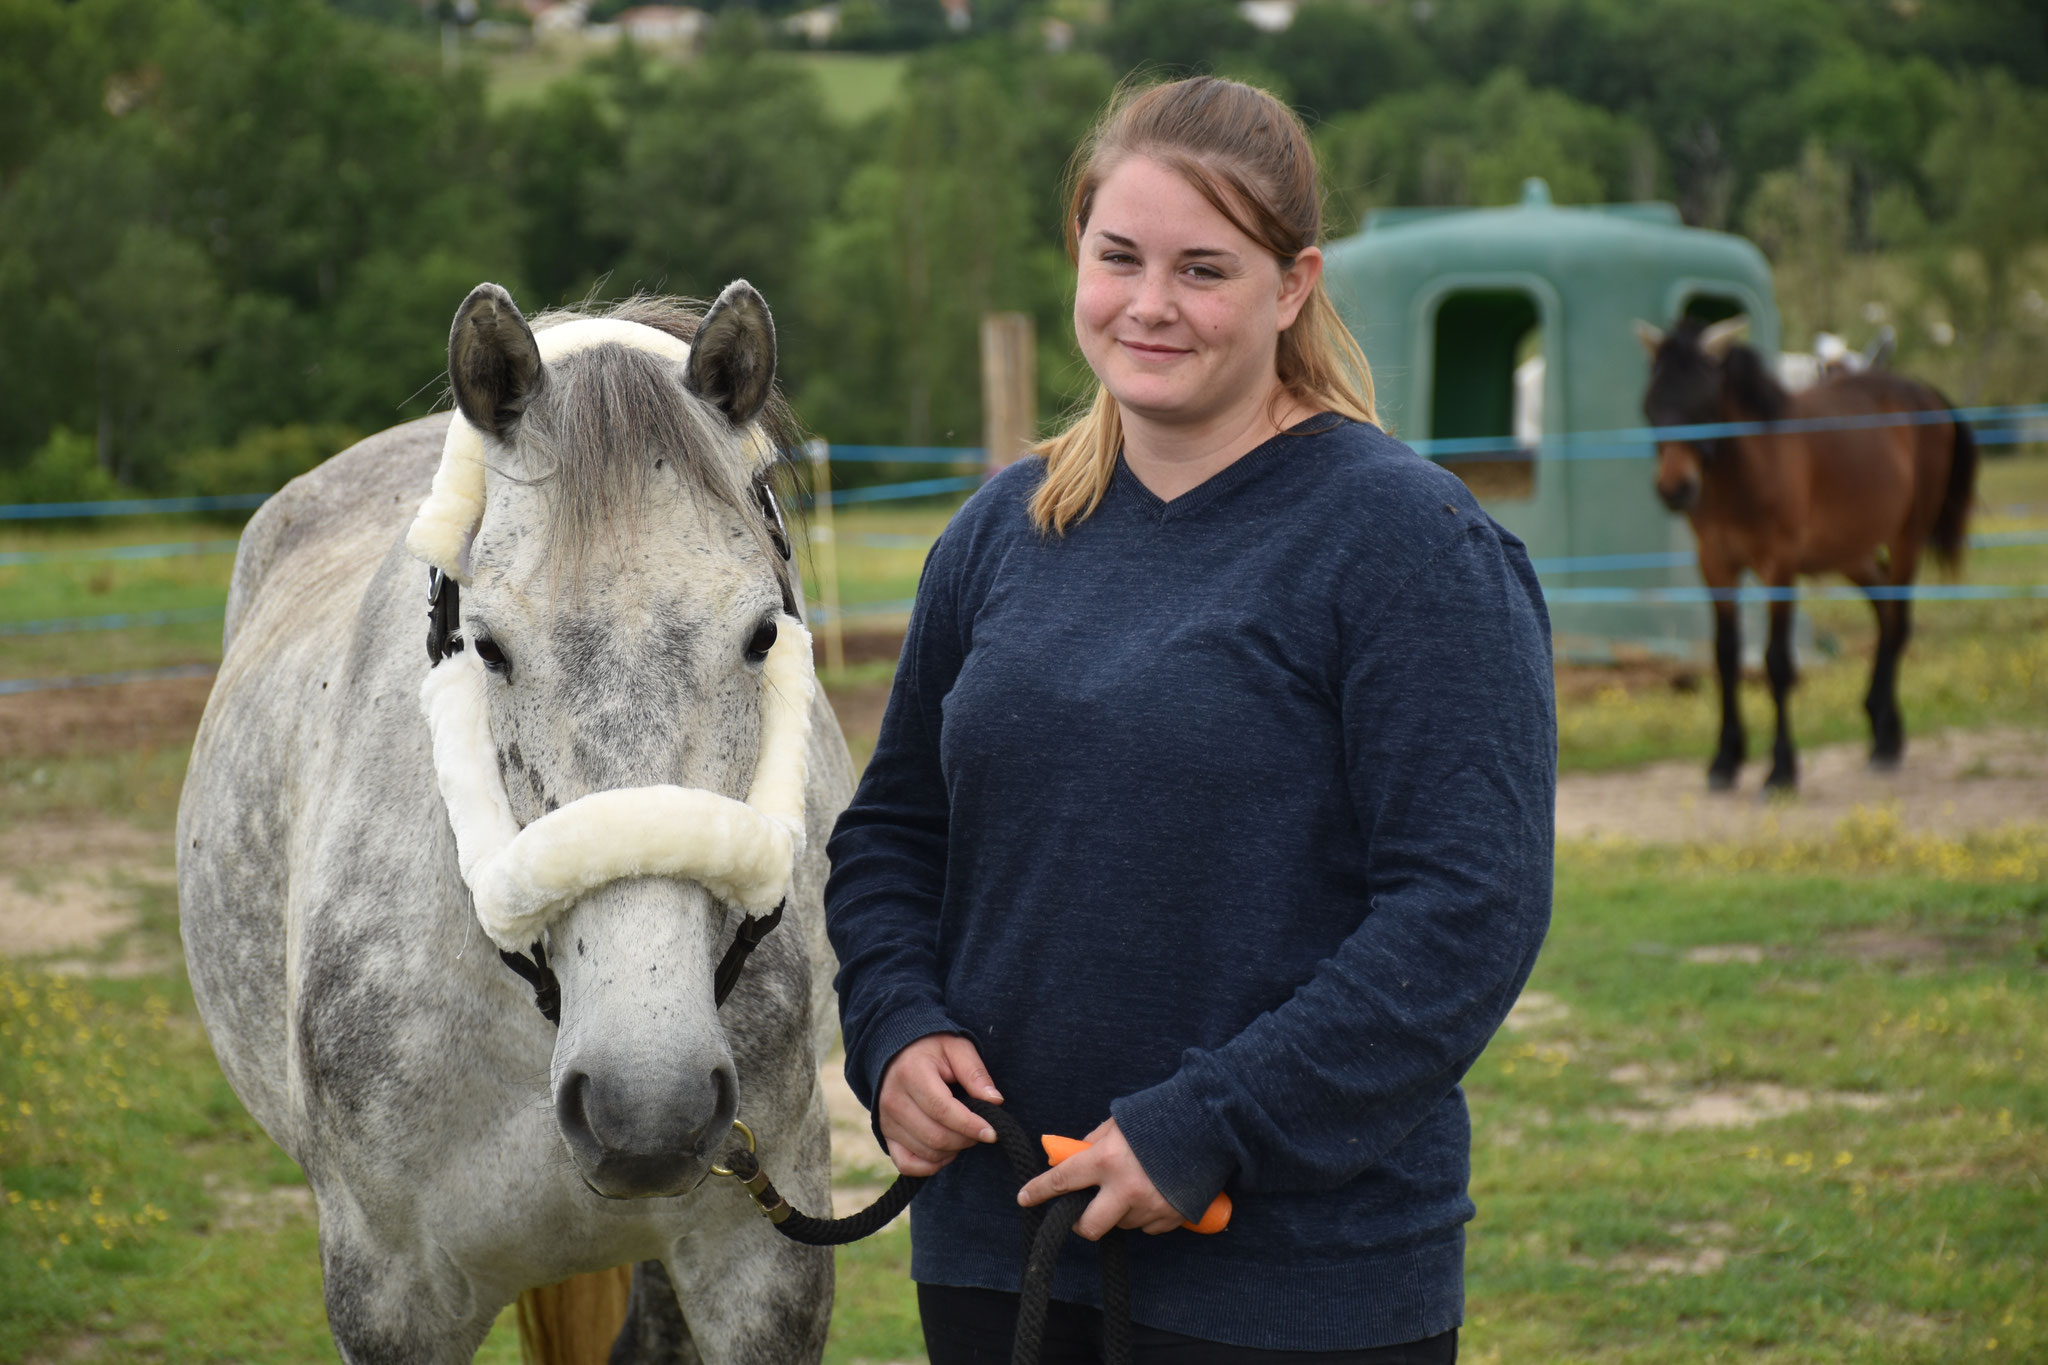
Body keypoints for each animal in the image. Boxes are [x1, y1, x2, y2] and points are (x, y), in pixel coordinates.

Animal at [1638, 317, 1974, 789]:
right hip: (1852, 553)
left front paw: (1781, 768)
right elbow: (1725, 655)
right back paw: (1880, 726)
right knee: (1884, 610)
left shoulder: (1779, 567)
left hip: (1907, 537)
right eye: (1651, 404)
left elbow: (1777, 661)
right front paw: (1725, 759)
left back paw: (1887, 743)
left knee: (1897, 623)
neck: (1746, 469)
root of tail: (1923, 392)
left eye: (1702, 402)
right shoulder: (1716, 564)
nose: (1674, 489)